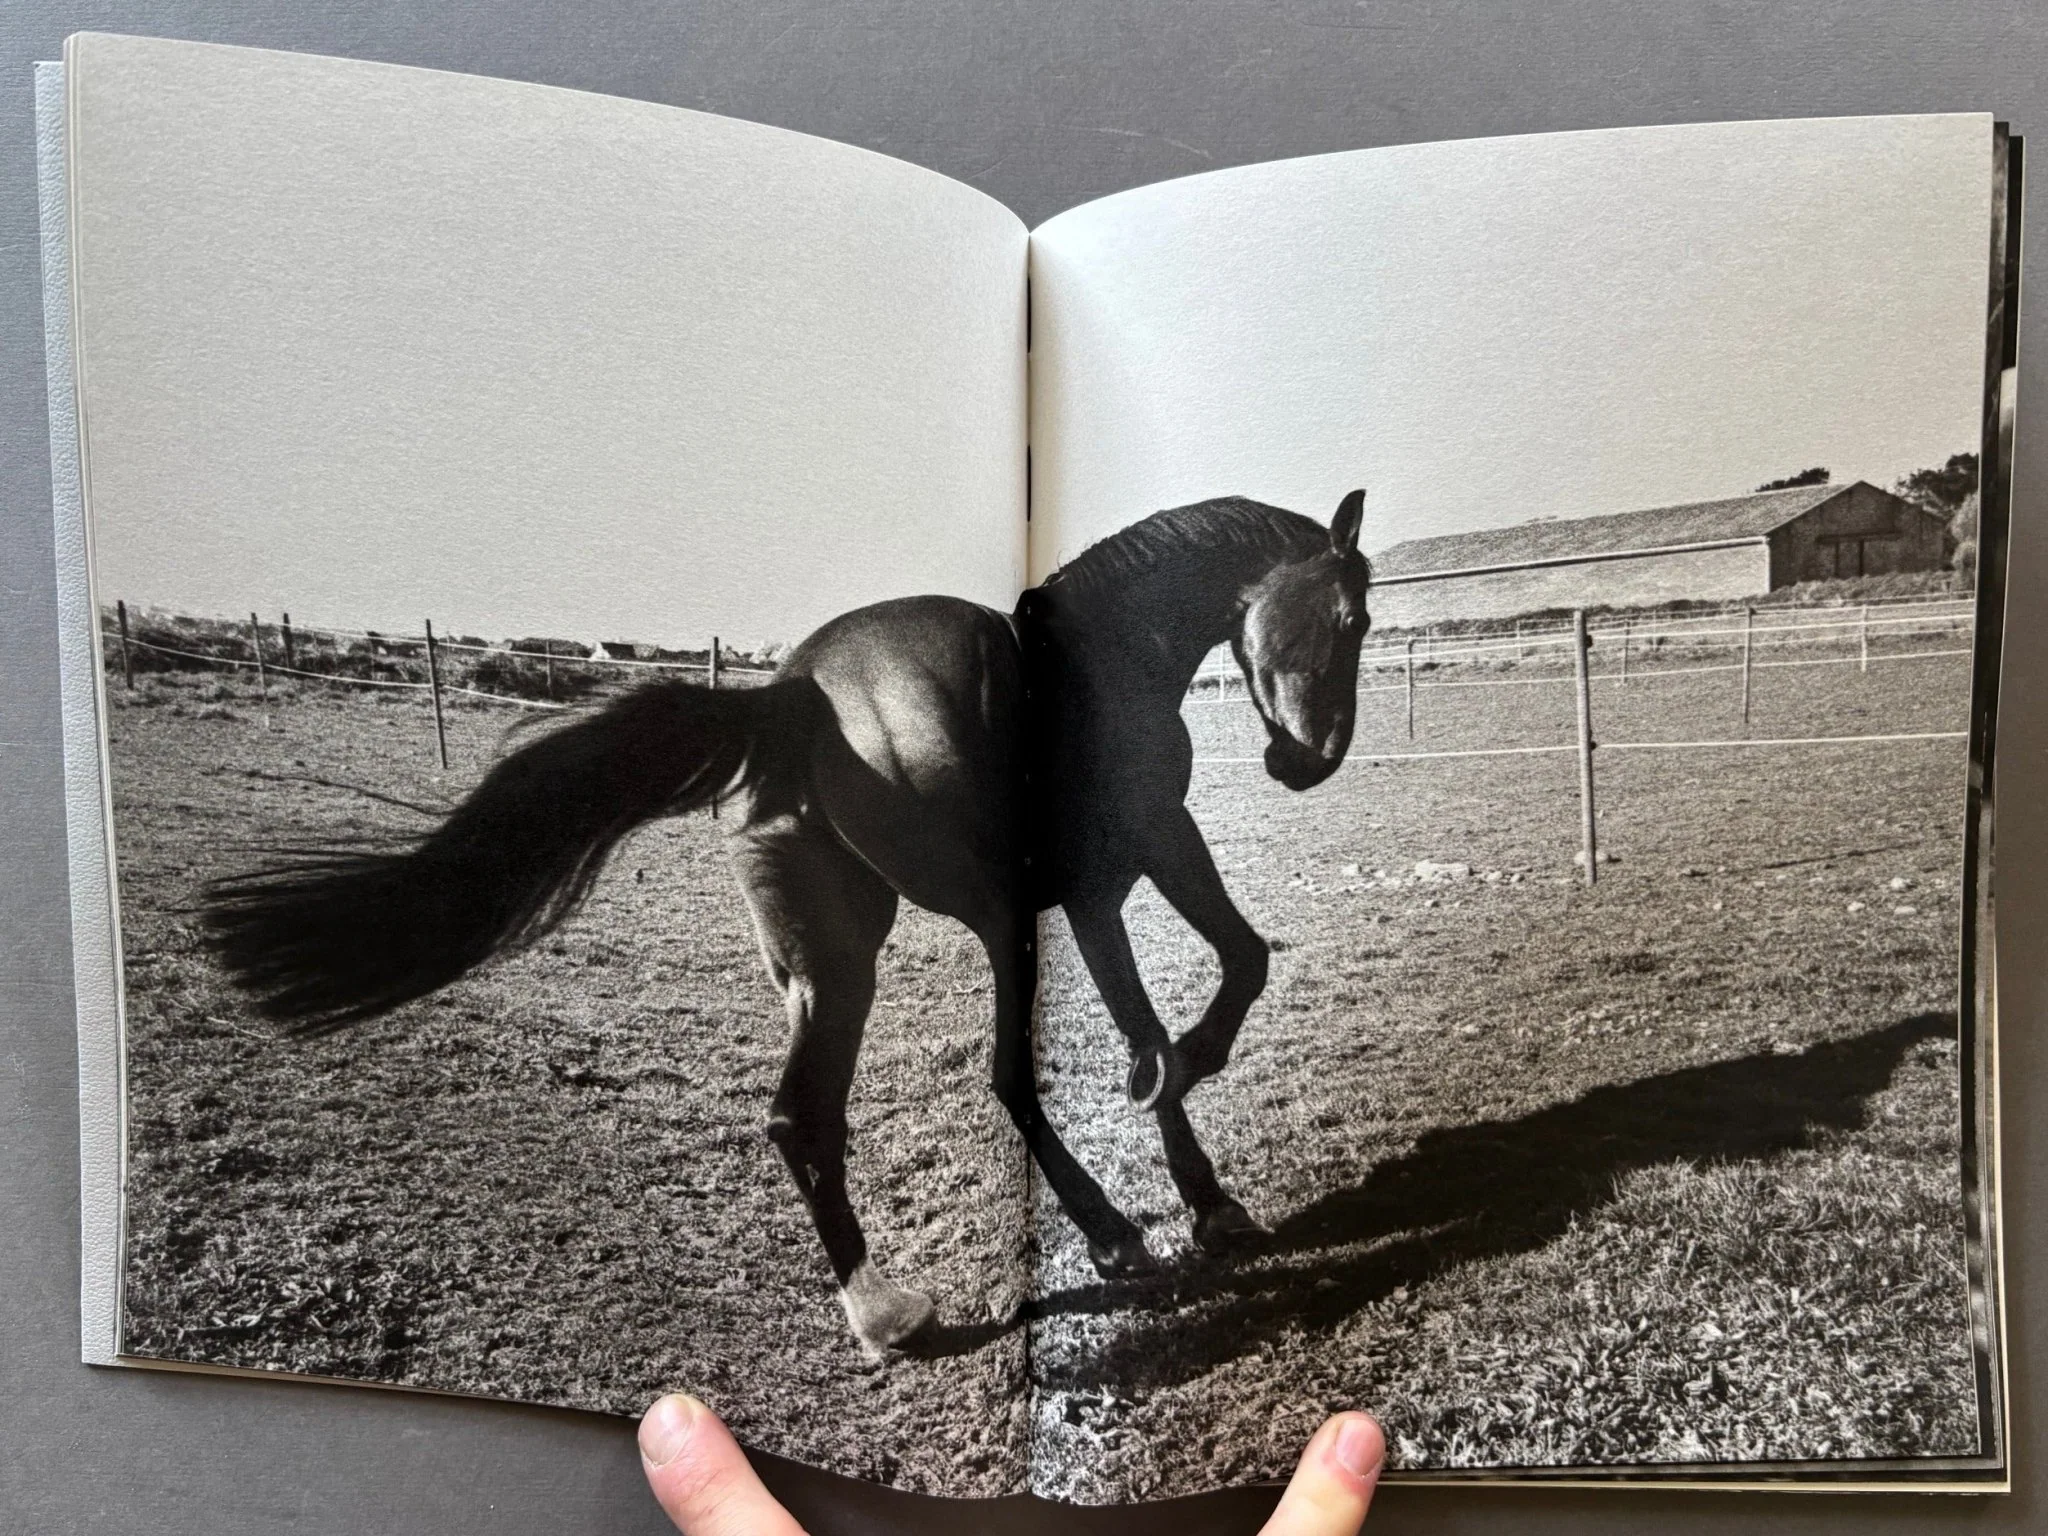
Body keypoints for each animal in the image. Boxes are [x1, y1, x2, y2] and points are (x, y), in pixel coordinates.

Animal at [204, 490, 1372, 1354]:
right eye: (1353, 618)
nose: (1307, 763)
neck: (1109, 655)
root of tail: (793, 695)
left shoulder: (1134, 868)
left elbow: (1206, 981)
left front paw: (1207, 1192)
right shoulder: (1125, 867)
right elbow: (1187, 1007)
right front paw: (1185, 1126)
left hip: (833, 962)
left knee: (798, 1119)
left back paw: (882, 1312)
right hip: (989, 926)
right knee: (998, 1078)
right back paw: (1102, 1240)